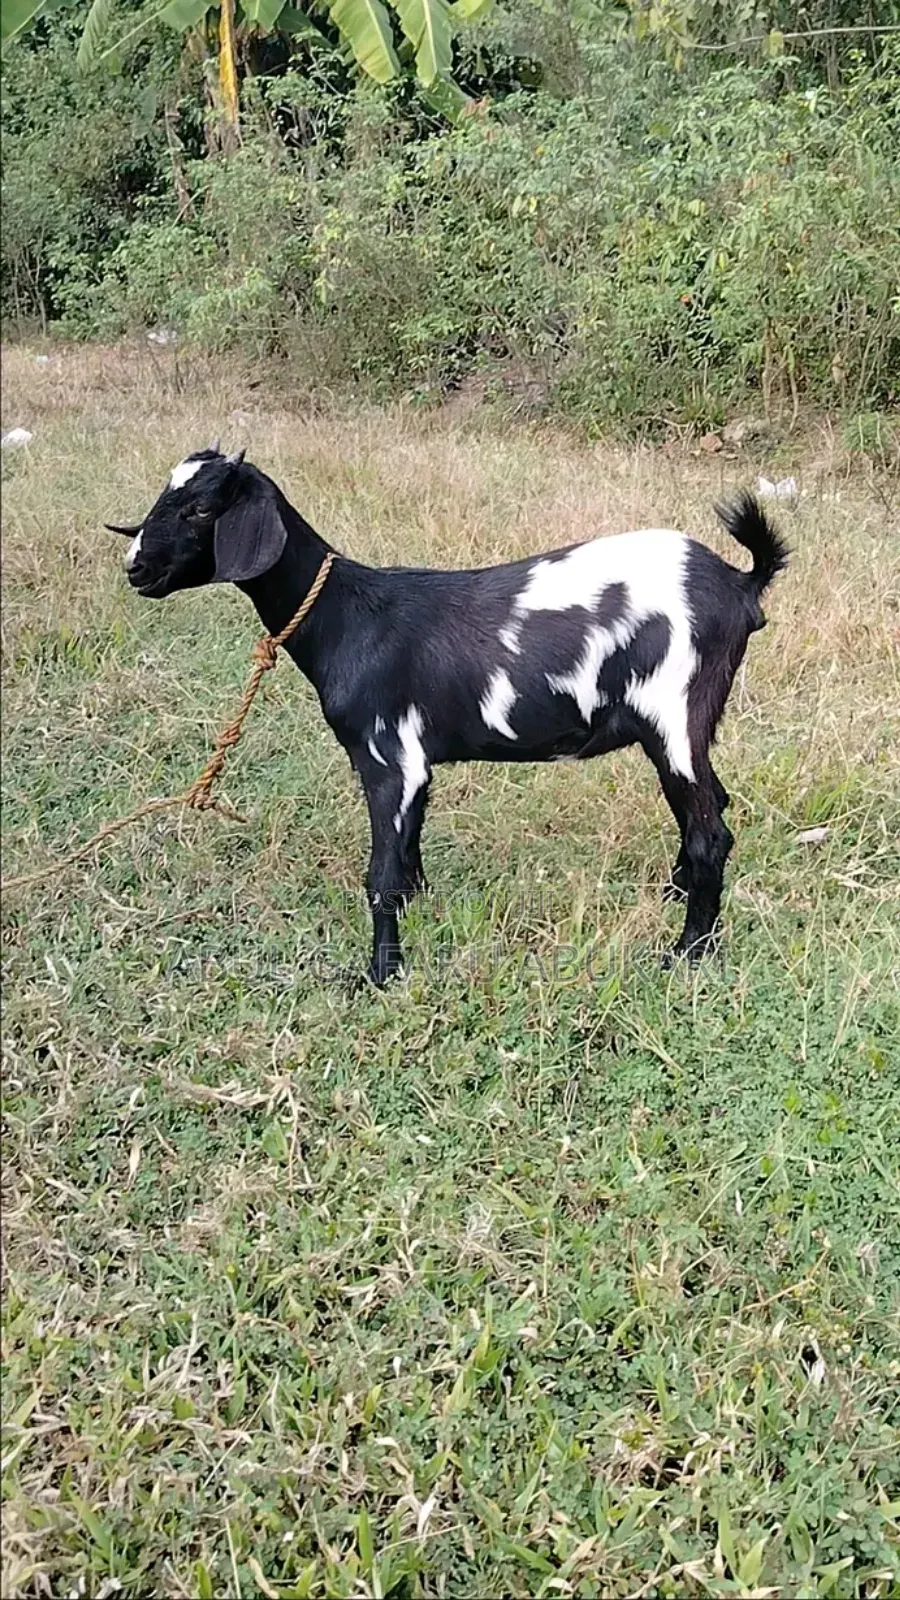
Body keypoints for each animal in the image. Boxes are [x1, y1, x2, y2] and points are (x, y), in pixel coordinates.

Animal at [106, 447, 788, 984]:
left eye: (200, 509)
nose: (136, 567)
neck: (346, 618)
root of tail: (739, 584)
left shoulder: (387, 756)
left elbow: (381, 871)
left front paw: (381, 973)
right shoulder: (417, 761)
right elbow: (408, 850)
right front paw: (416, 912)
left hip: (674, 712)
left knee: (709, 832)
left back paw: (687, 952)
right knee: (714, 803)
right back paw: (677, 897)